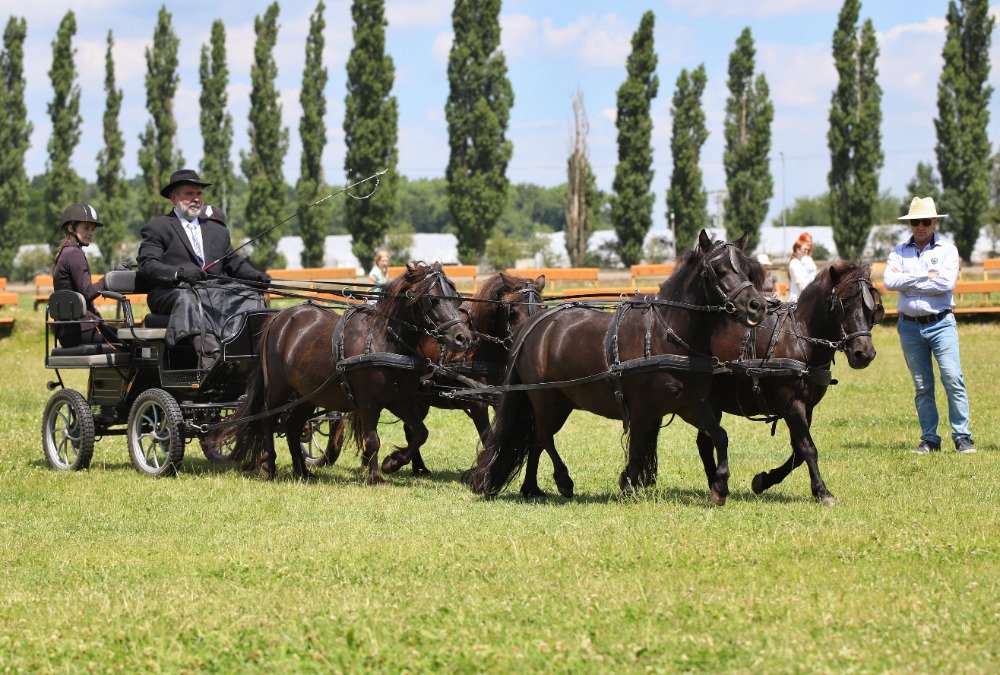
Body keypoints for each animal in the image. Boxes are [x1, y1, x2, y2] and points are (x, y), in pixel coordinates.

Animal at [468, 232, 764, 502]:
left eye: (747, 269)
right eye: (720, 270)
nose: (757, 306)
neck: (667, 334)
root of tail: (533, 325)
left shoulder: (691, 404)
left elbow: (720, 436)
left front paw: (720, 486)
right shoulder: (643, 409)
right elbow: (636, 447)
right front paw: (629, 484)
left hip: (561, 401)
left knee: (535, 439)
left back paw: (532, 488)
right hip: (545, 398)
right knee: (543, 435)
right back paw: (563, 481)